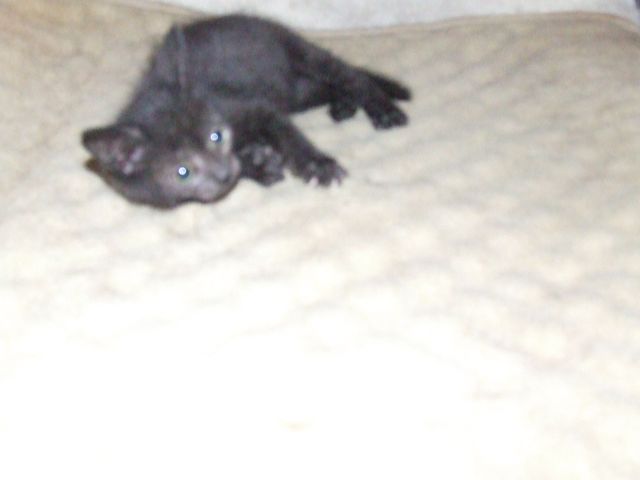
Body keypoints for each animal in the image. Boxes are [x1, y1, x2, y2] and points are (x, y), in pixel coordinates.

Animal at [82, 14, 411, 208]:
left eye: (216, 136)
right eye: (183, 172)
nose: (222, 173)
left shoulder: (250, 107)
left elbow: (286, 134)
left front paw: (317, 164)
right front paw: (259, 165)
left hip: (298, 53)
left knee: (351, 76)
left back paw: (383, 109)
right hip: (295, 91)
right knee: (327, 88)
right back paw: (344, 105)